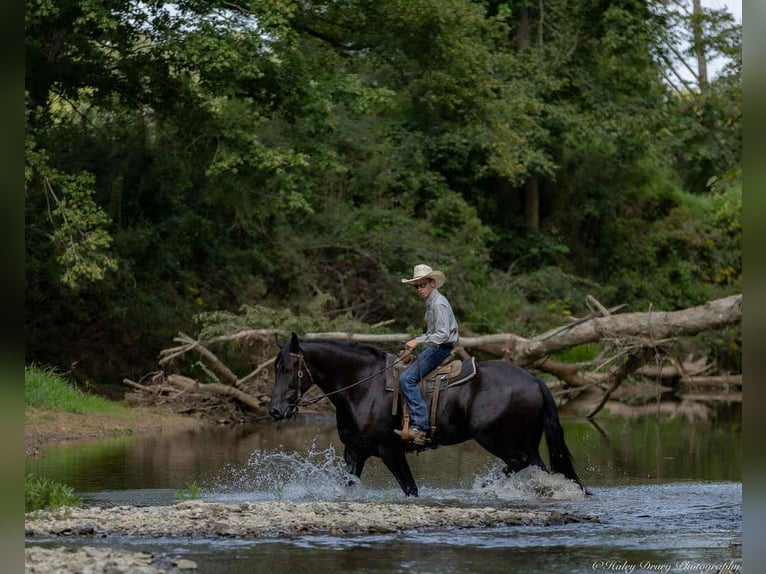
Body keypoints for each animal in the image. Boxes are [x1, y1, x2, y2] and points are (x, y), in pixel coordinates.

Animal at [269, 332, 583, 497]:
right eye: (275, 368)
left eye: (289, 369)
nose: (275, 410)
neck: (362, 386)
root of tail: (535, 380)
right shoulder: (355, 452)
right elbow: (347, 485)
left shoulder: (391, 450)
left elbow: (410, 488)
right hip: (527, 439)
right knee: (536, 467)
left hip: (494, 438)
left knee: (518, 463)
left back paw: (483, 488)